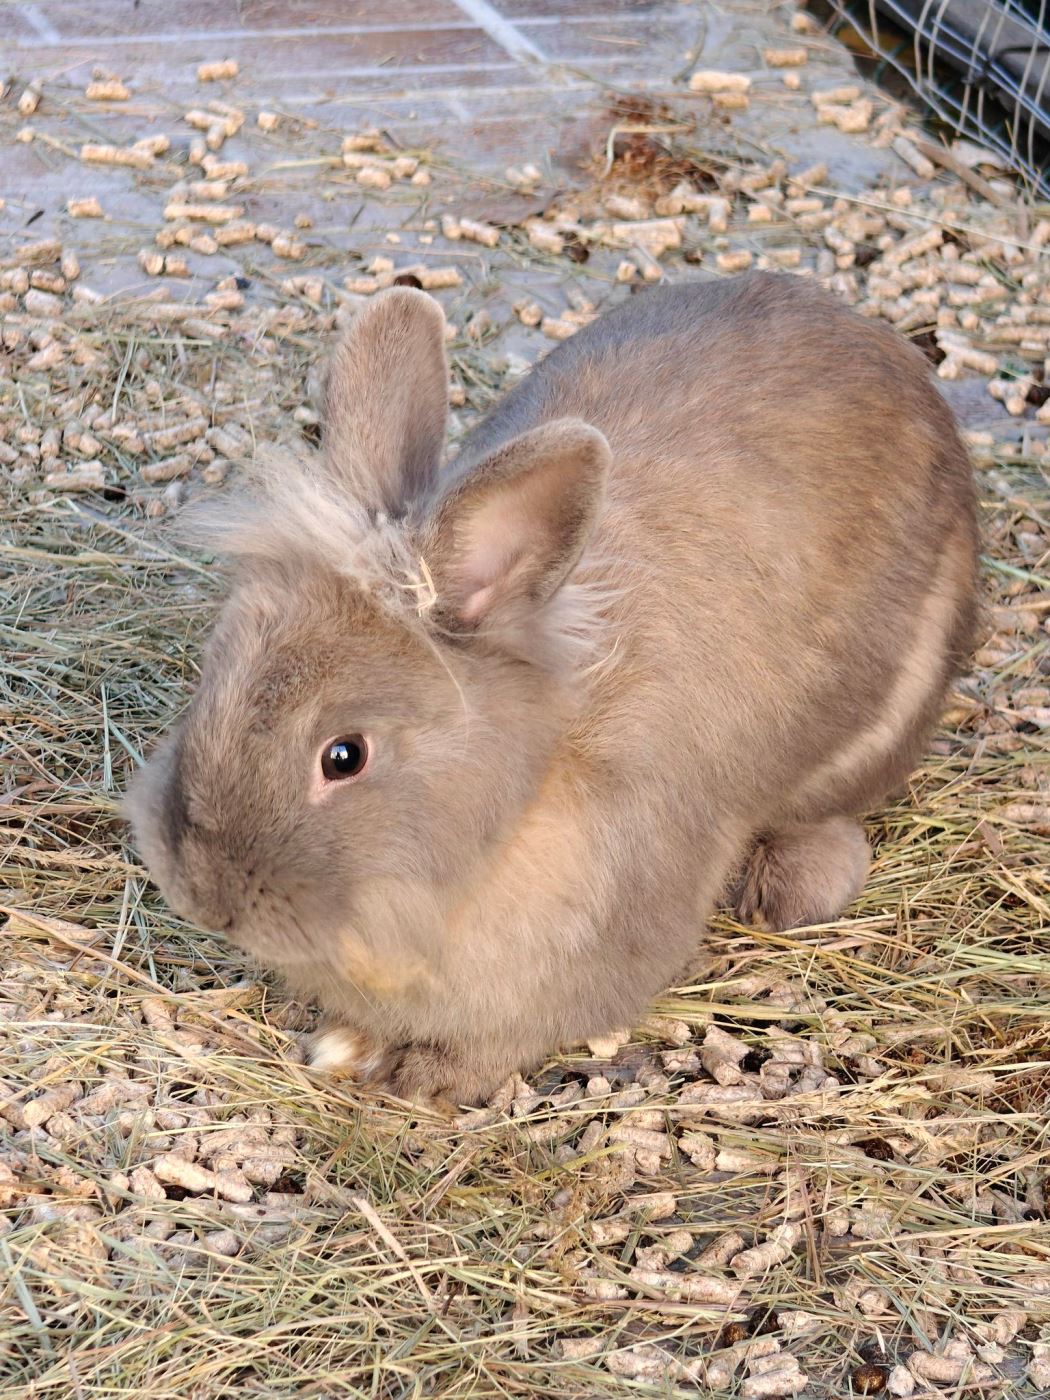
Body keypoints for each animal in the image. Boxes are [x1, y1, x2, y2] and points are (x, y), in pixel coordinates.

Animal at [127, 273, 985, 1103]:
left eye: (345, 756)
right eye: (214, 676)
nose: (203, 897)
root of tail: (878, 341)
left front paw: (428, 1079)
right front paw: (349, 1044)